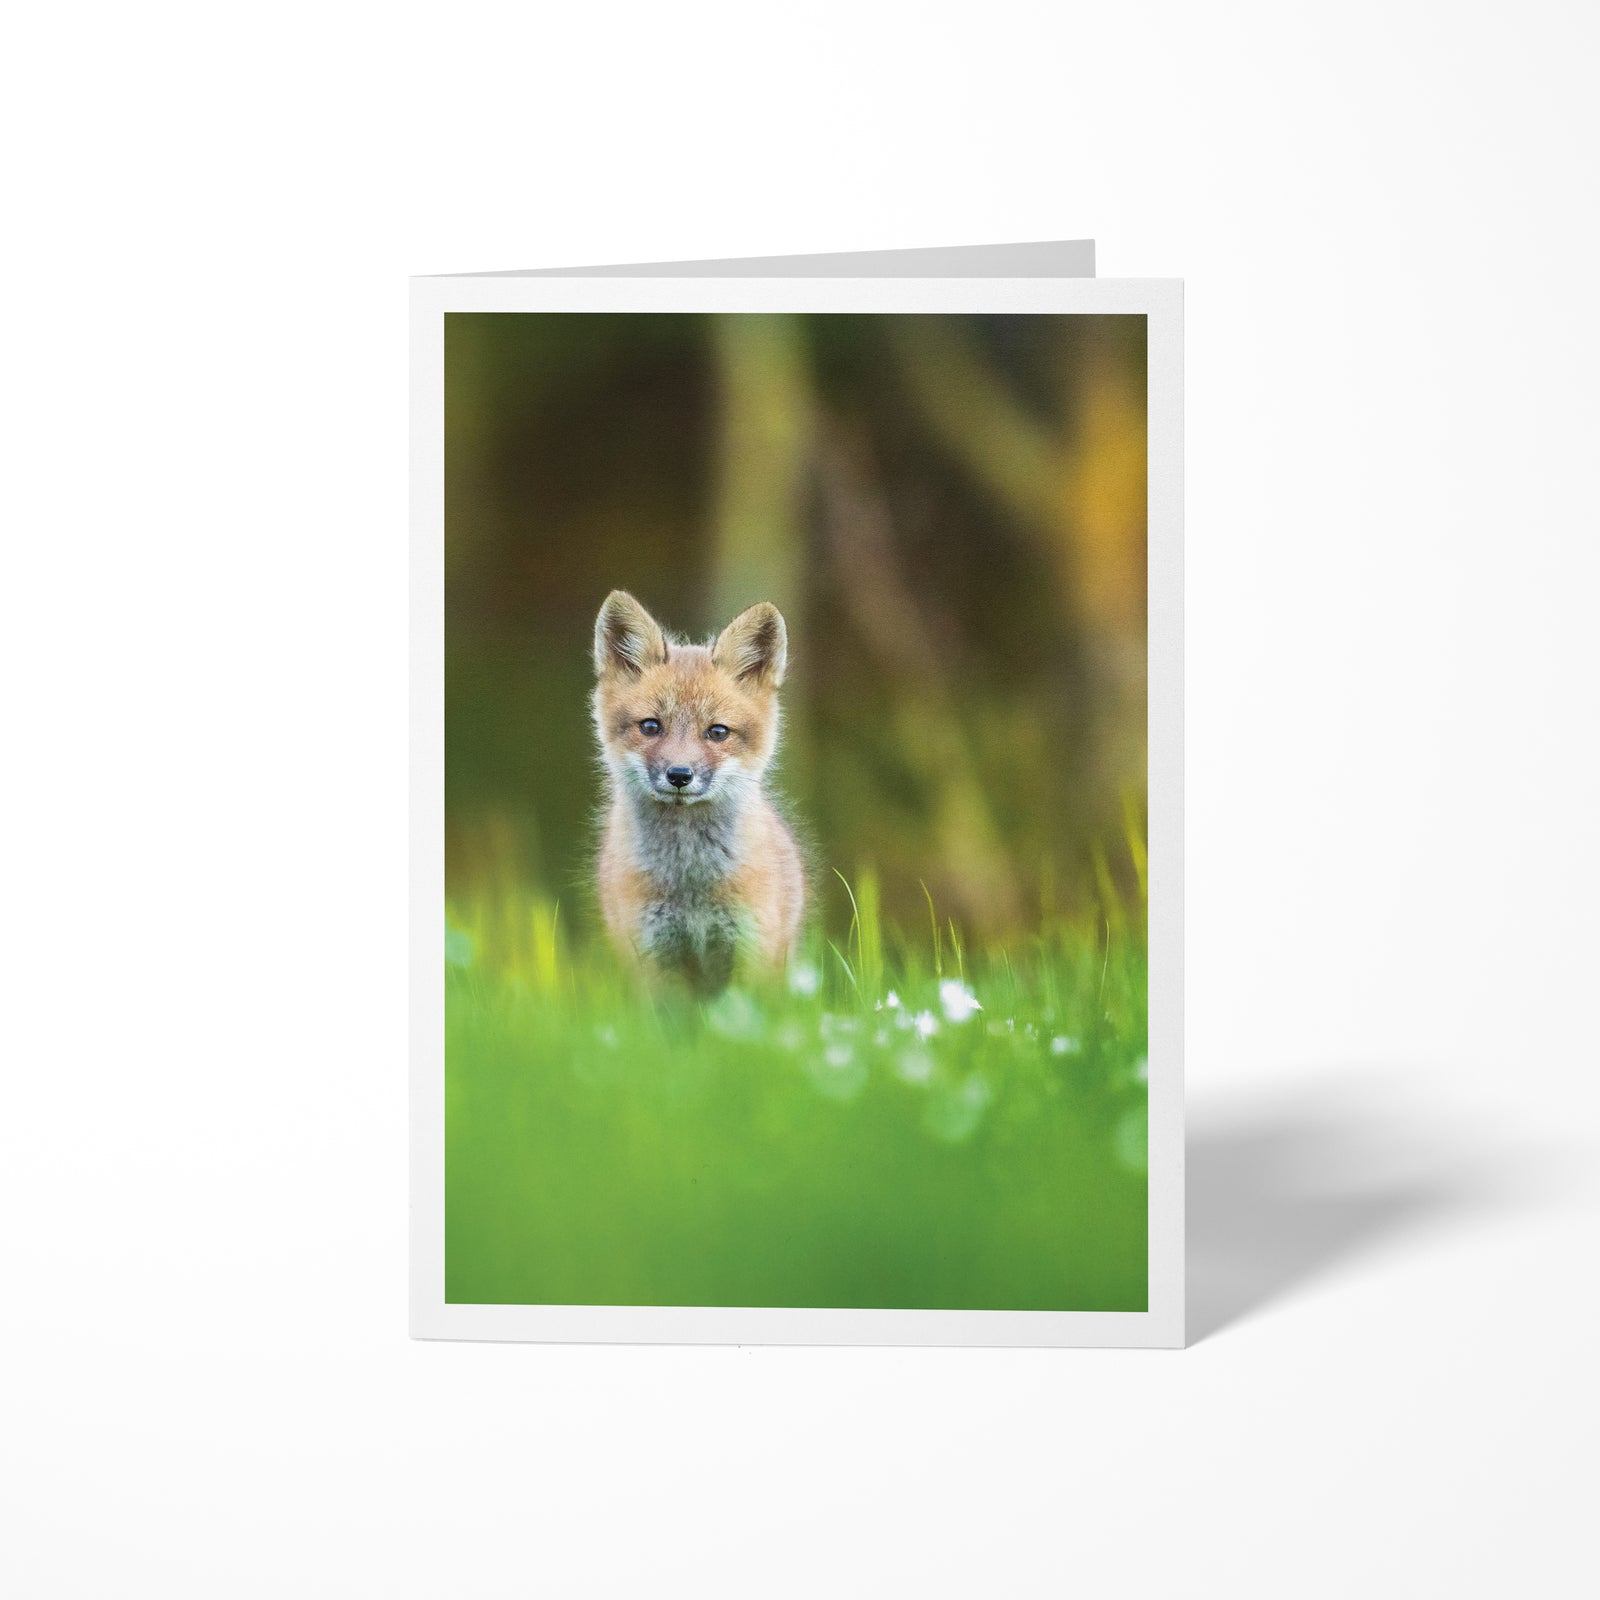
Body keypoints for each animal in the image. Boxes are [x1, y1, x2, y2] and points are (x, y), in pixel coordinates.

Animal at [592, 590, 806, 994]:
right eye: (651, 726)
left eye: (718, 732)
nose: (679, 775)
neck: (689, 881)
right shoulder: (654, 955)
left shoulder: (748, 948)